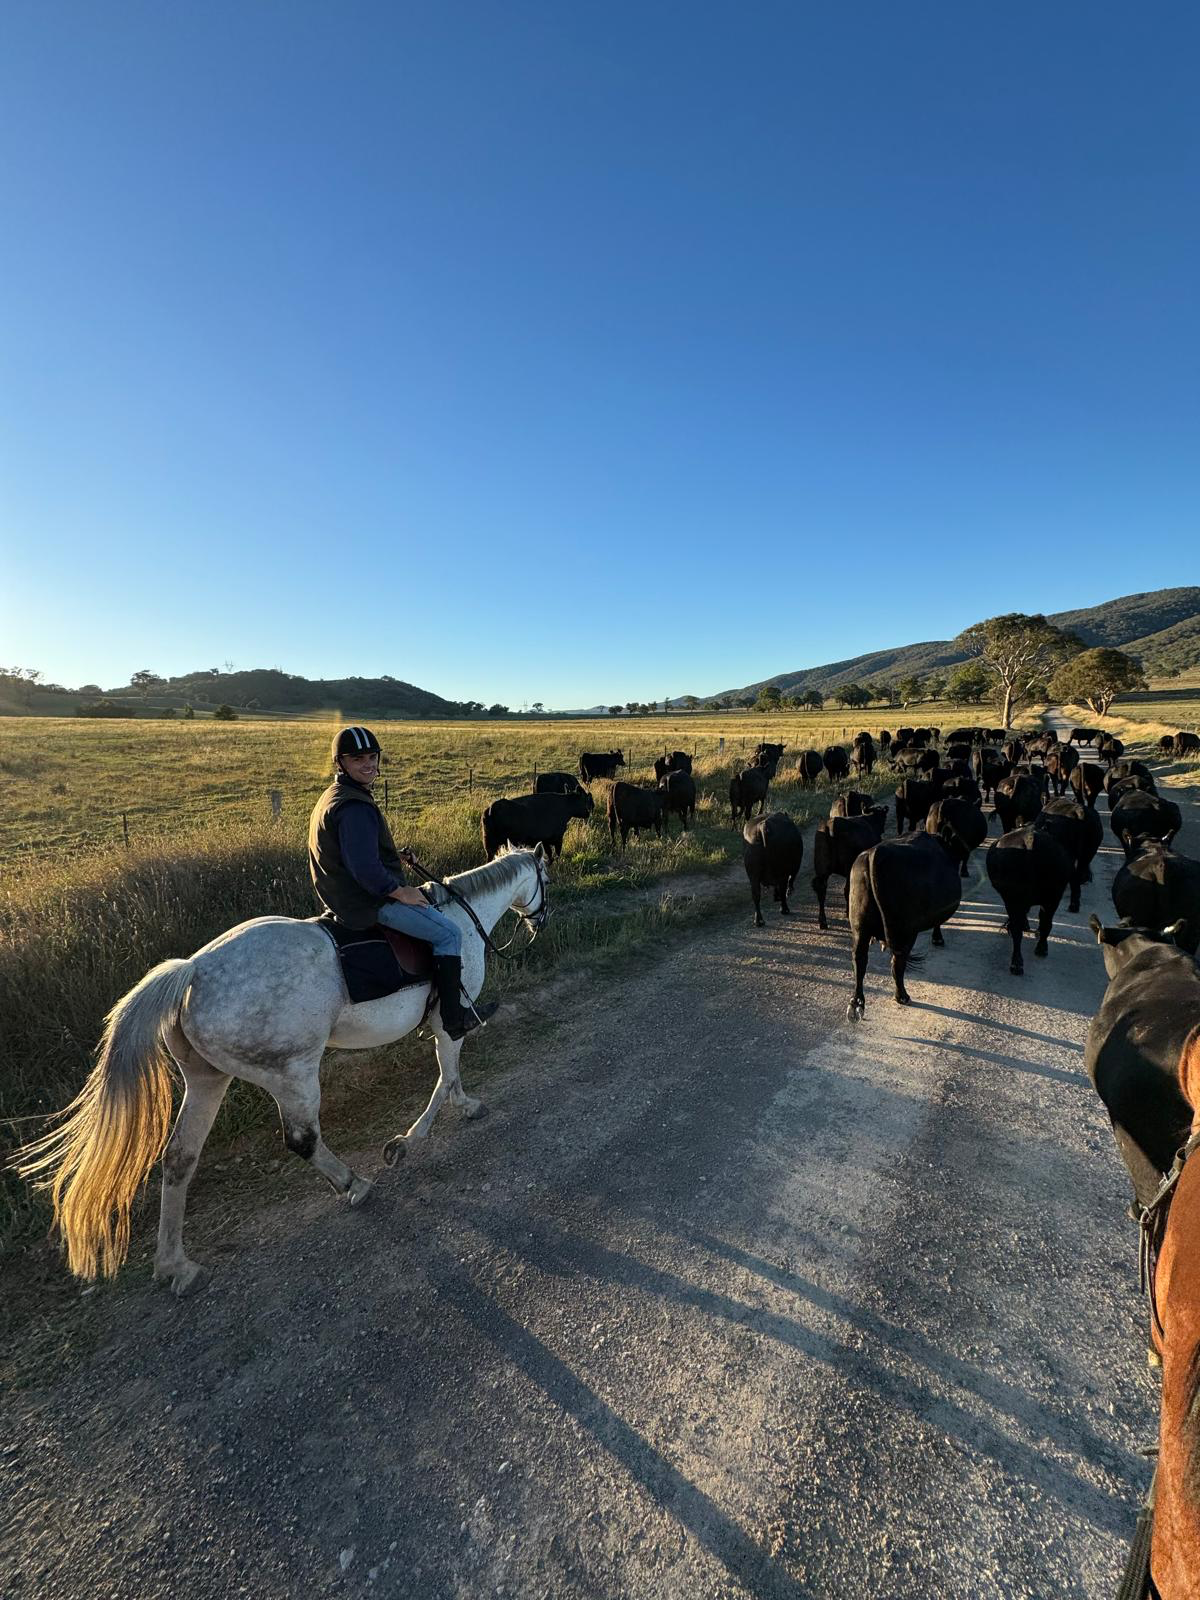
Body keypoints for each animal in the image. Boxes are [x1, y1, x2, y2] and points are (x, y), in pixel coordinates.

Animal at [15, 847, 550, 1298]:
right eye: (544, 878)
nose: (539, 923)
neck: (461, 919)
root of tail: (191, 972)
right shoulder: (448, 1021)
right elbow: (446, 1075)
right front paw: (415, 1136)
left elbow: (448, 1075)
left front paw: (453, 1113)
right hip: (292, 1074)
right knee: (302, 1139)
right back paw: (353, 1184)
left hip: (207, 1081)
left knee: (179, 1158)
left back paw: (176, 1265)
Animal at [846, 825, 964, 1018]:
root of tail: (874, 854)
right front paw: (938, 938)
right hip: (905, 930)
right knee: (898, 962)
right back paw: (902, 996)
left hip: (860, 928)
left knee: (860, 960)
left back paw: (856, 1003)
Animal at [985, 826, 1072, 975]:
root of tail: (1029, 840)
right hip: (1052, 898)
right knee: (1045, 923)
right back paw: (1039, 949)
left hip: (1016, 899)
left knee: (1019, 928)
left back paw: (1017, 962)